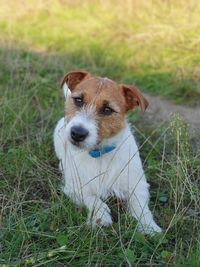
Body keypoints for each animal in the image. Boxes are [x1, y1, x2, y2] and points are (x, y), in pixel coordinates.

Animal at [54, 70, 162, 234]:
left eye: (107, 110)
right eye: (78, 100)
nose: (77, 133)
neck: (99, 153)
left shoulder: (138, 185)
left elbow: (140, 206)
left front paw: (149, 226)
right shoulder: (74, 187)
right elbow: (92, 197)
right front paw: (101, 215)